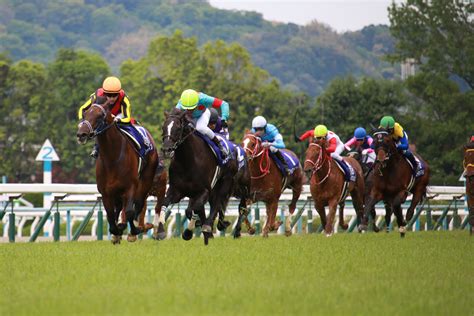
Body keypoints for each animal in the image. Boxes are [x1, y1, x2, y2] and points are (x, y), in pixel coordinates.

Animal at [76, 102, 159, 243]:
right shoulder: (106, 192)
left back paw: (141, 227)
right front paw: (117, 231)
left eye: (100, 116)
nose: (81, 134)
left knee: (139, 203)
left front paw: (134, 230)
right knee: (120, 208)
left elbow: (130, 212)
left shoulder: (130, 187)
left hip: (145, 180)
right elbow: (110, 215)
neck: (112, 158)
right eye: (85, 114)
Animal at [162, 108, 243, 244]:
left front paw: (188, 232)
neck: (187, 161)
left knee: (217, 203)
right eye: (163, 127)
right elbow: (166, 203)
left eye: (178, 128)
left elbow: (195, 209)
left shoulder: (204, 190)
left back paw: (208, 226)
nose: (167, 149)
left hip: (225, 181)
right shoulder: (176, 190)